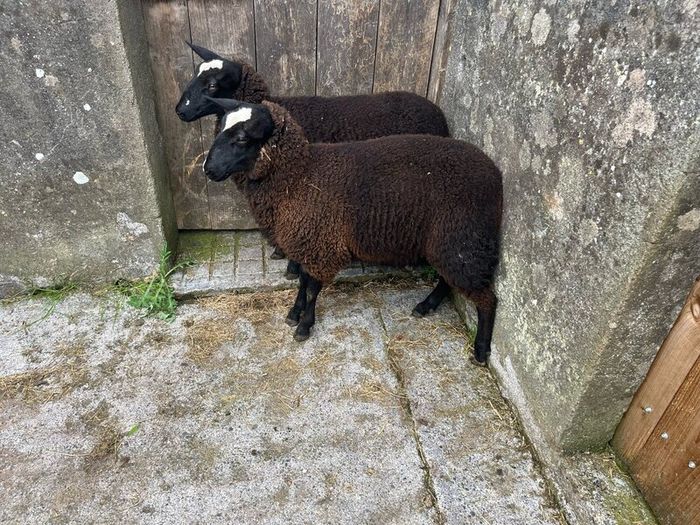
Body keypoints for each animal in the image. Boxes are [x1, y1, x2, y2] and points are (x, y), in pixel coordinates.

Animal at [202, 98, 502, 364]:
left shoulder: (320, 243)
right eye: (221, 129)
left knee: (487, 298)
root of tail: (493, 169)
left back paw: (480, 350)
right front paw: (294, 313)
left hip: (463, 236)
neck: (299, 177)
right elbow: (302, 284)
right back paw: (426, 306)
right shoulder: (307, 242)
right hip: (447, 240)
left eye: (243, 138)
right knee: (448, 278)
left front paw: (304, 326)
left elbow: (312, 290)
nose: (208, 169)